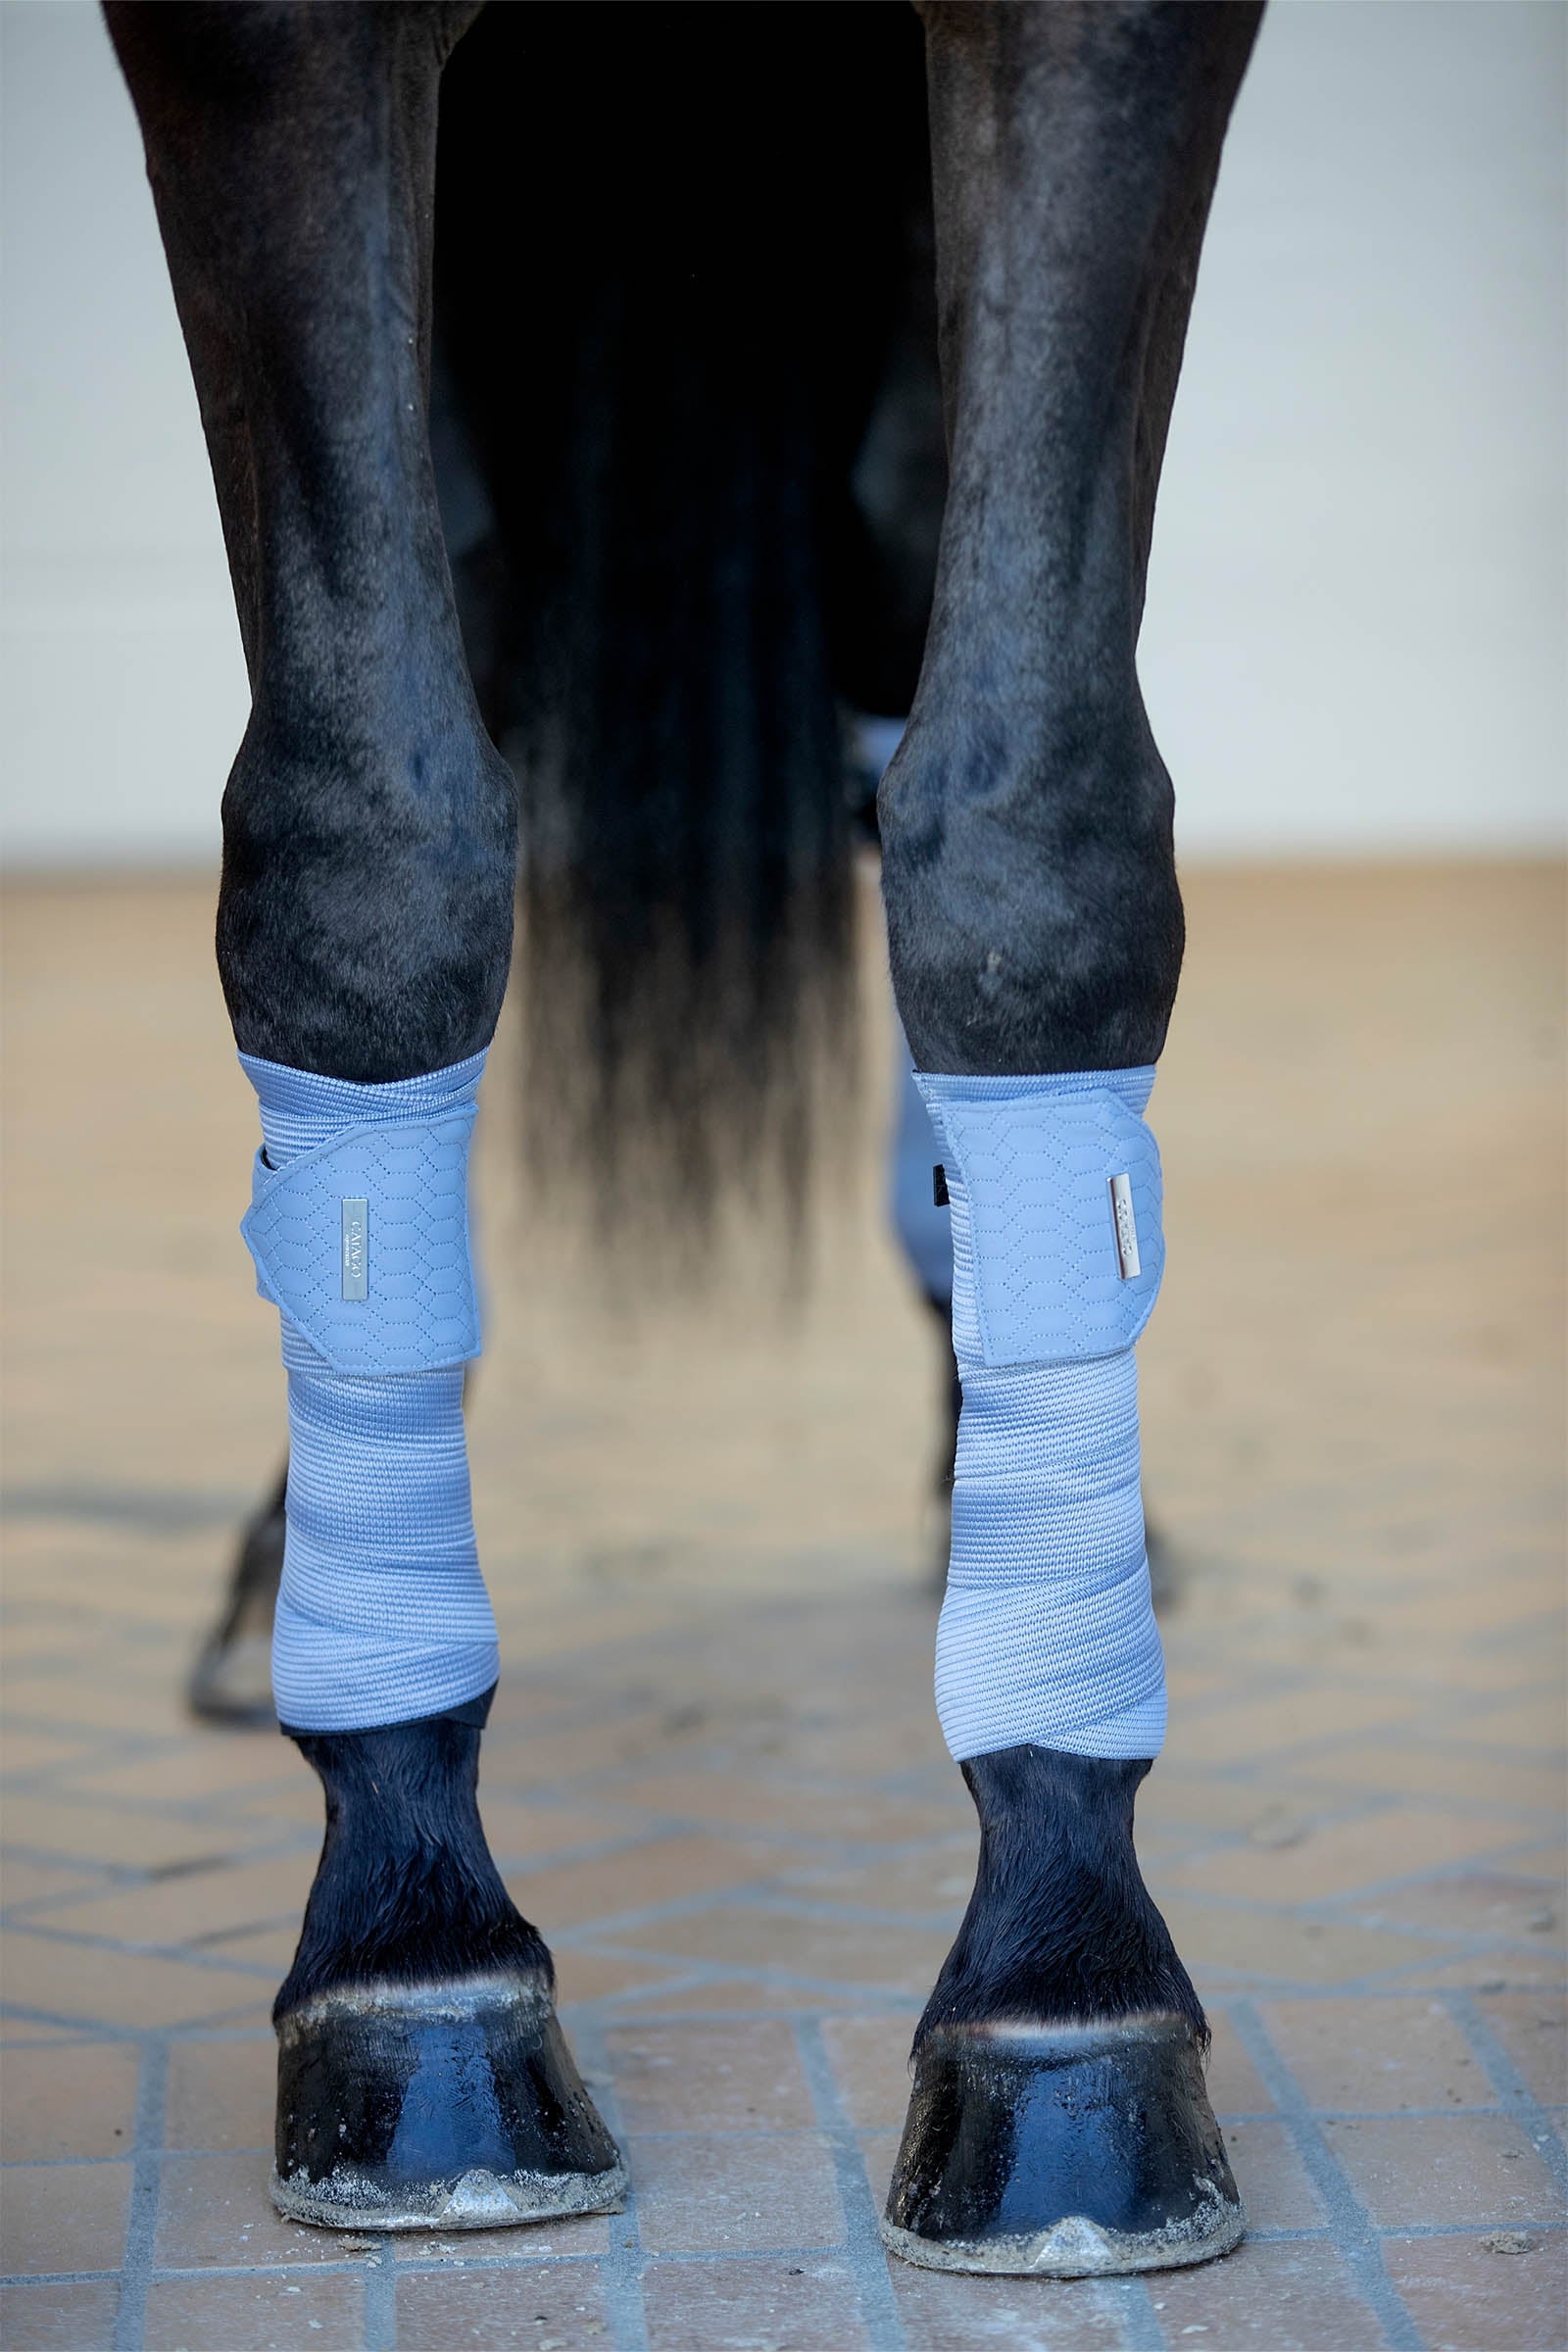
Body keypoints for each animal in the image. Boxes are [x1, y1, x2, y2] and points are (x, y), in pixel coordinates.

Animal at [104, 0, 1264, 2279]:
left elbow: (1032, 840)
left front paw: (1062, 1974)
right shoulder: (259, 46)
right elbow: (366, 846)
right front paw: (414, 1951)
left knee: (891, 587)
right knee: (469, 629)